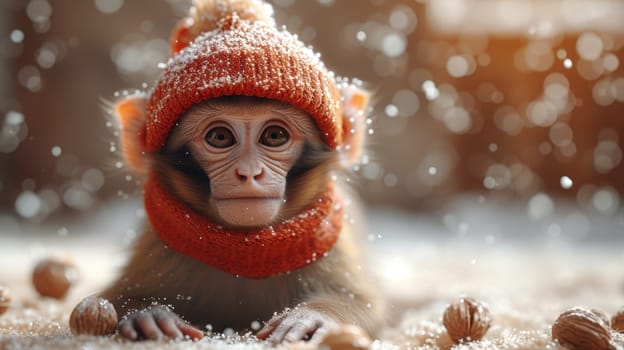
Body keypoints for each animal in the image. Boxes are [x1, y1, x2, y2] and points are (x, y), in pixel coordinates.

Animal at [97, 0, 386, 342]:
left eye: (274, 135)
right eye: (220, 137)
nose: (249, 173)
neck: (248, 254)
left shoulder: (330, 246)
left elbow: (368, 307)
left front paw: (314, 316)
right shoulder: (157, 247)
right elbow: (111, 299)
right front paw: (148, 314)